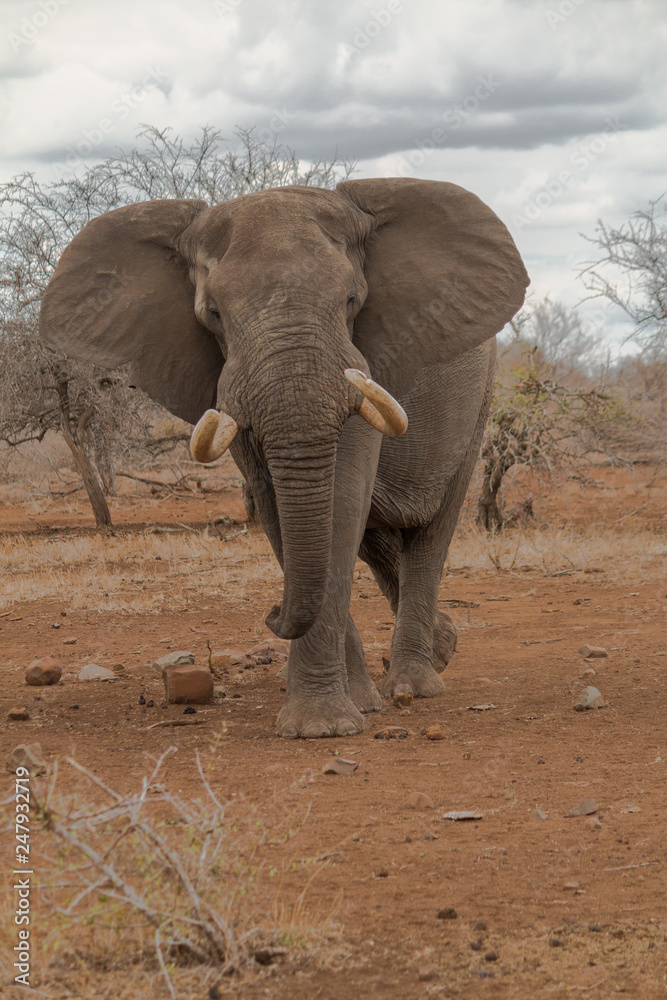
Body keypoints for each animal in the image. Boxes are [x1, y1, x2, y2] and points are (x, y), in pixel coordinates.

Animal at [39, 178, 529, 738]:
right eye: (213, 313)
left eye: (352, 299)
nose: (272, 612)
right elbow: (276, 507)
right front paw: (346, 711)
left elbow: (342, 500)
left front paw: (325, 726)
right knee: (378, 542)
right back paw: (437, 652)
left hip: (480, 399)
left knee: (430, 531)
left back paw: (413, 686)